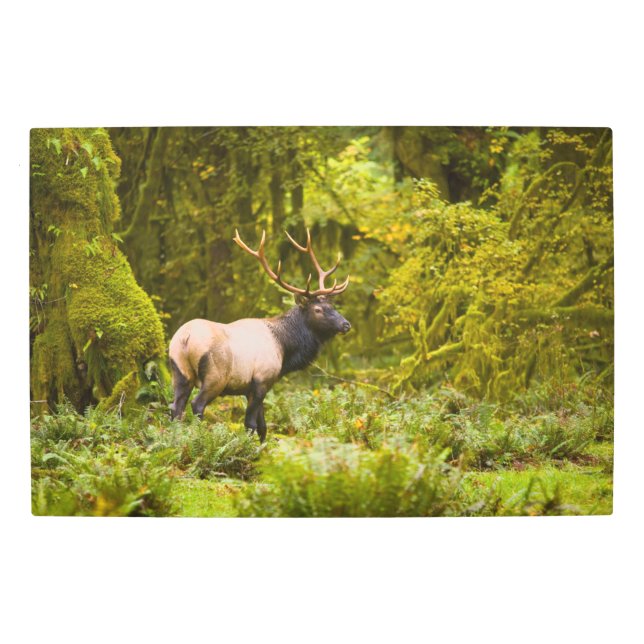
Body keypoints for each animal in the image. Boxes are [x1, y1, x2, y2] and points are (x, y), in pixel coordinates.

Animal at [168, 228, 351, 442]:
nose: (346, 324)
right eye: (318, 309)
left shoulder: (253, 388)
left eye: (332, 306)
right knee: (197, 405)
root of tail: (185, 338)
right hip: (215, 375)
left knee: (175, 408)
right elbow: (251, 424)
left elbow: (263, 426)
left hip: (179, 371)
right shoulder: (262, 380)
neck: (285, 349)